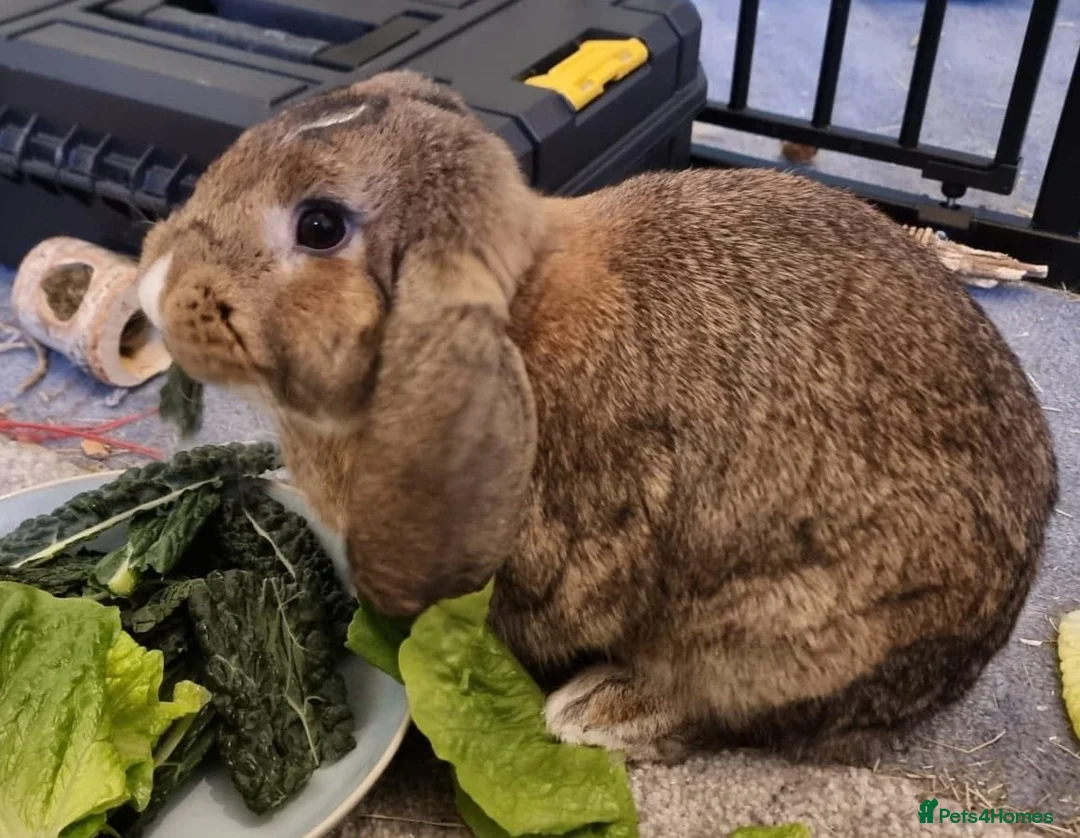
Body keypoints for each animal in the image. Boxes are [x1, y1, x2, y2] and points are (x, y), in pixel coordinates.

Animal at [136, 70, 1058, 766]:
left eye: (320, 225)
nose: (150, 285)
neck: (513, 313)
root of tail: (975, 652)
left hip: (782, 631)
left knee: (736, 709)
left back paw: (599, 712)